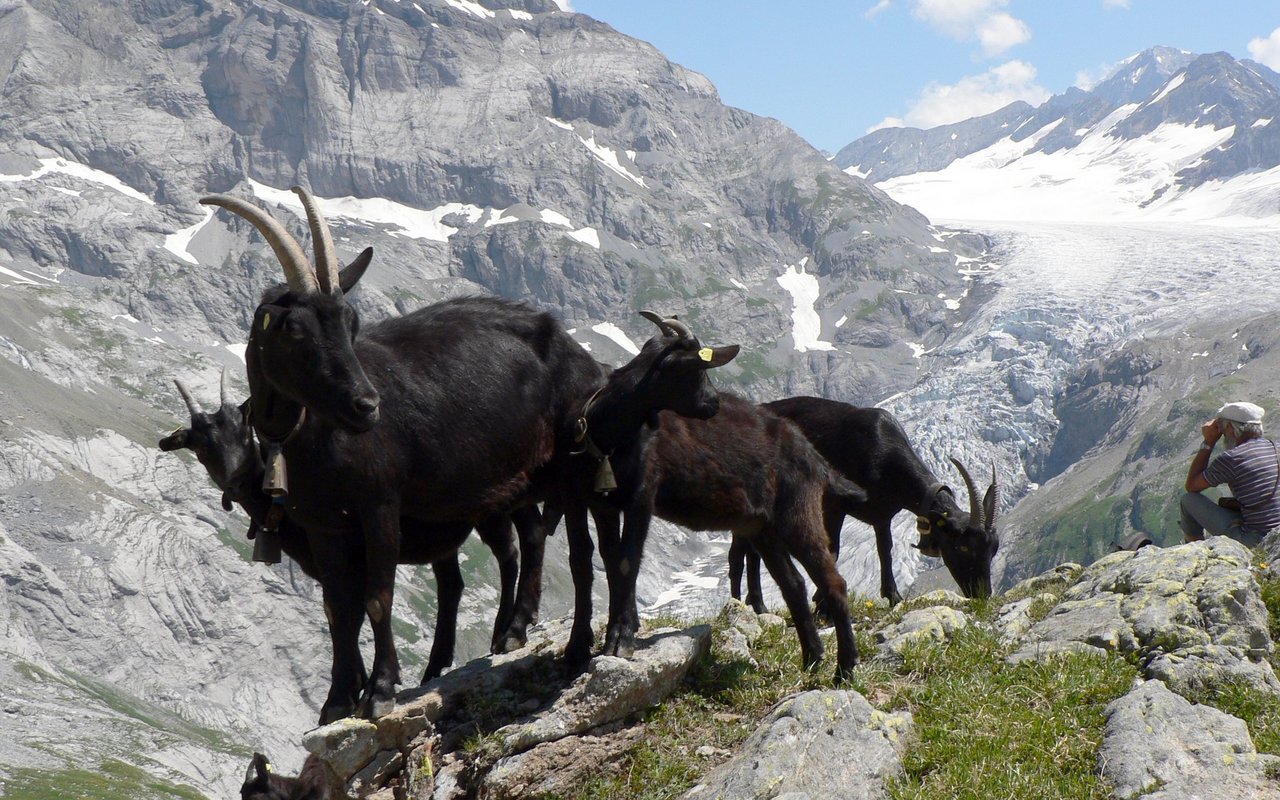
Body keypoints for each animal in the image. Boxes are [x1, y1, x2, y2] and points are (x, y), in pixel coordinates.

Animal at [198, 188, 599, 721]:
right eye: (294, 329)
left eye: (351, 322)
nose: (367, 405)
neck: (309, 439)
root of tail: (576, 349)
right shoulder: (326, 525)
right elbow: (338, 608)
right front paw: (336, 701)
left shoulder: (380, 506)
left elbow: (377, 597)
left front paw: (381, 690)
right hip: (510, 484)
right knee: (532, 535)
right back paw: (512, 628)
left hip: (562, 468)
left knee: (561, 546)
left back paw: (535, 635)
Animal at [558, 320, 865, 680]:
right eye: (696, 371)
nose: (715, 403)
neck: (609, 436)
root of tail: (815, 458)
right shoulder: (597, 502)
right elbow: (601, 562)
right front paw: (596, 640)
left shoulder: (642, 495)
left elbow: (626, 562)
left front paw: (621, 639)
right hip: (762, 527)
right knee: (794, 585)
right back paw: (813, 659)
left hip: (797, 512)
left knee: (834, 582)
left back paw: (845, 668)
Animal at [732, 396, 998, 609]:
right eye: (962, 546)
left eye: (993, 550)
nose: (982, 594)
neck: (883, 453)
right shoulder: (834, 506)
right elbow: (834, 549)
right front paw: (823, 603)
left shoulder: (882, 515)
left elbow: (885, 550)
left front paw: (893, 596)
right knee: (742, 552)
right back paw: (750, 605)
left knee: (748, 551)